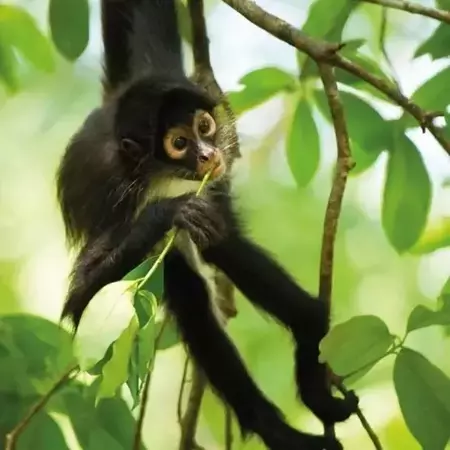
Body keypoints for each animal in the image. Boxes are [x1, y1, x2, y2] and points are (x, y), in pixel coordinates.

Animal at [56, 1, 358, 448]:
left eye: (203, 127)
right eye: (179, 143)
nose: (207, 154)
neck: (159, 173)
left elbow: (218, 236)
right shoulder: (119, 203)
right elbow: (78, 305)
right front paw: (166, 214)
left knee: (219, 243)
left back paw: (309, 336)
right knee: (184, 280)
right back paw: (277, 428)